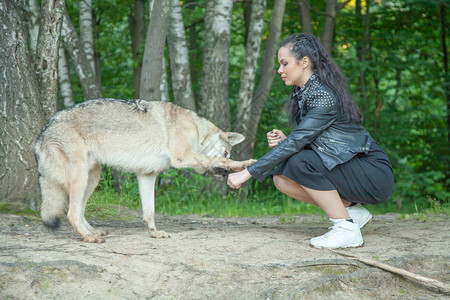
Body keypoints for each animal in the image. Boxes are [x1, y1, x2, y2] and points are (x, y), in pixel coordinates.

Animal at [35, 99, 255, 243]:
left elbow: (149, 211)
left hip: (92, 179)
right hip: (81, 179)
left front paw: (154, 233)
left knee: (79, 212)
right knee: (71, 213)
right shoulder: (182, 158)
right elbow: (218, 159)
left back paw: (95, 232)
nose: (224, 175)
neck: (197, 129)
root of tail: (42, 133)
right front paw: (242, 164)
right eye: (226, 152)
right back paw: (90, 237)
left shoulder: (147, 175)